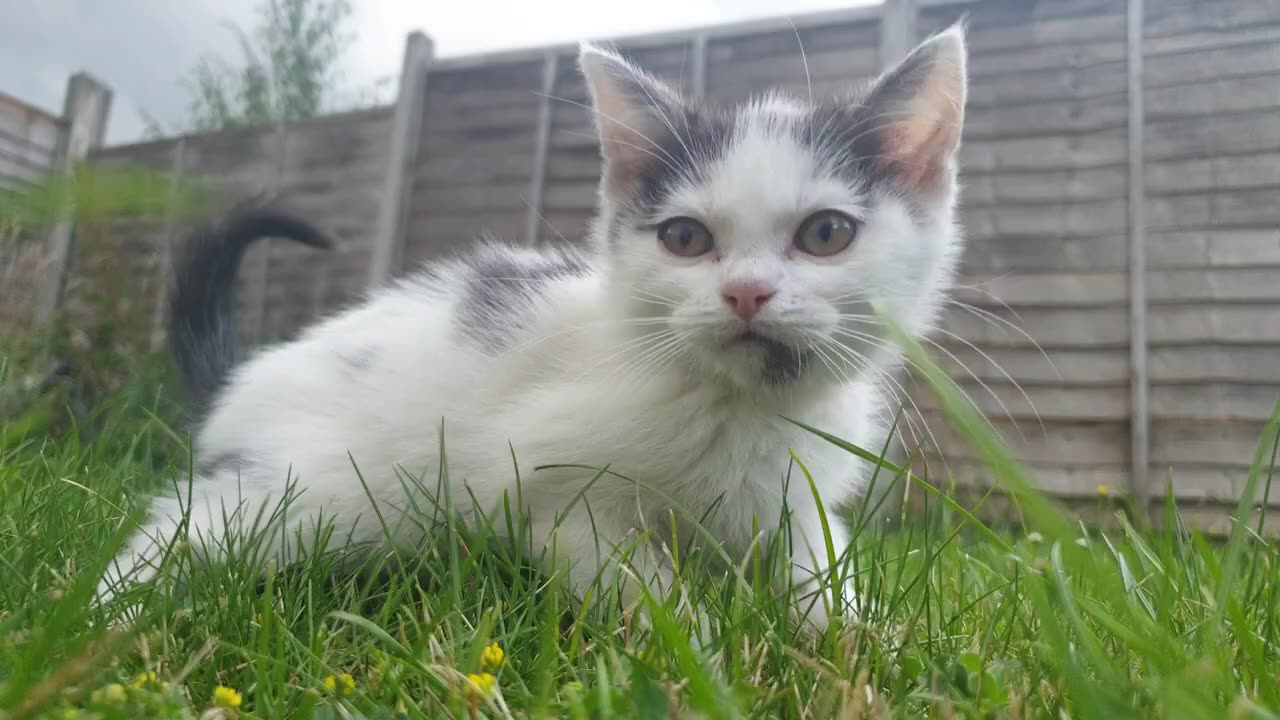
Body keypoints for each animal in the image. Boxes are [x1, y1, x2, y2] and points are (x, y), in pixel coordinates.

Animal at [94, 25, 962, 630]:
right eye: (685, 238)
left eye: (826, 234)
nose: (746, 293)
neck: (743, 407)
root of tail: (248, 373)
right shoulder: (550, 493)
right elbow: (642, 586)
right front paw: (702, 655)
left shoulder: (798, 499)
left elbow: (820, 568)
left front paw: (859, 640)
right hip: (313, 488)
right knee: (190, 525)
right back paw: (109, 616)